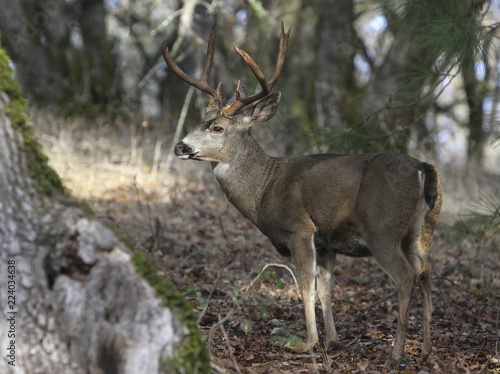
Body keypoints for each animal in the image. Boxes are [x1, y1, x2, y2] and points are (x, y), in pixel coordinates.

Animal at [163, 21, 442, 366]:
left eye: (217, 128)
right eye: (200, 120)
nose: (180, 146)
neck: (264, 187)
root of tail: (422, 167)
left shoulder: (299, 228)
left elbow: (305, 287)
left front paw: (307, 344)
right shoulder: (326, 242)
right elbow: (326, 289)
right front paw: (333, 340)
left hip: (383, 228)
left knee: (406, 276)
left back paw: (397, 352)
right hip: (421, 230)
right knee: (426, 272)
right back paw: (427, 350)